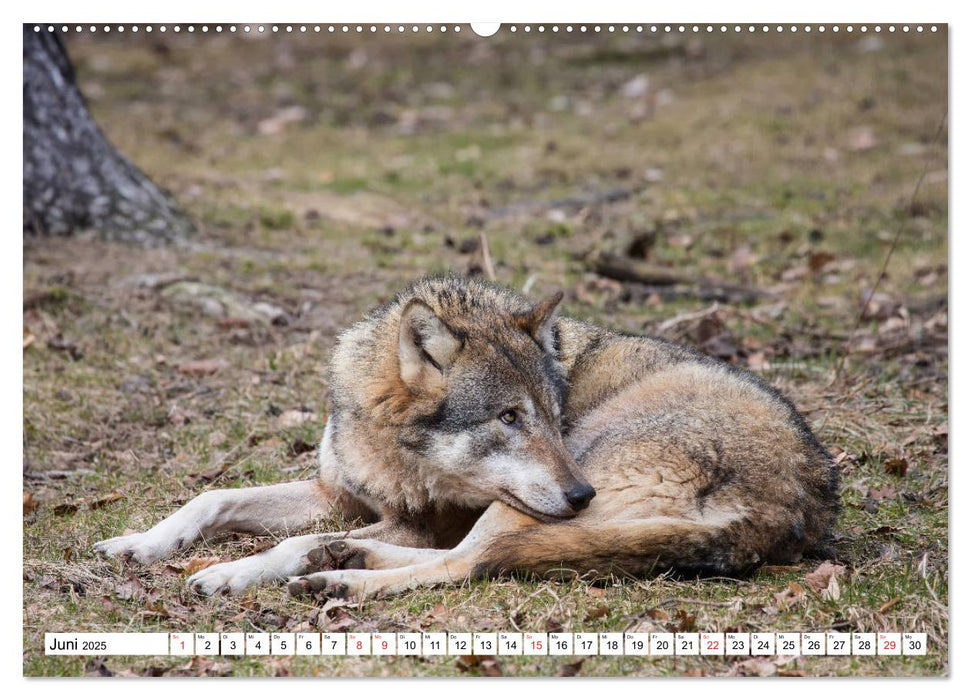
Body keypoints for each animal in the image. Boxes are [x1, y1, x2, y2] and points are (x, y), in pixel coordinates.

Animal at [93, 276, 844, 600]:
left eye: (552, 414)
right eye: (508, 418)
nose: (581, 493)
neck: (394, 451)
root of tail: (790, 507)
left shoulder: (417, 522)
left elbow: (286, 543)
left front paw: (230, 572)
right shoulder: (337, 493)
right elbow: (213, 497)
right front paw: (142, 543)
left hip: (536, 501)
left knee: (471, 563)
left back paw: (338, 578)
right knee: (469, 558)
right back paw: (341, 562)